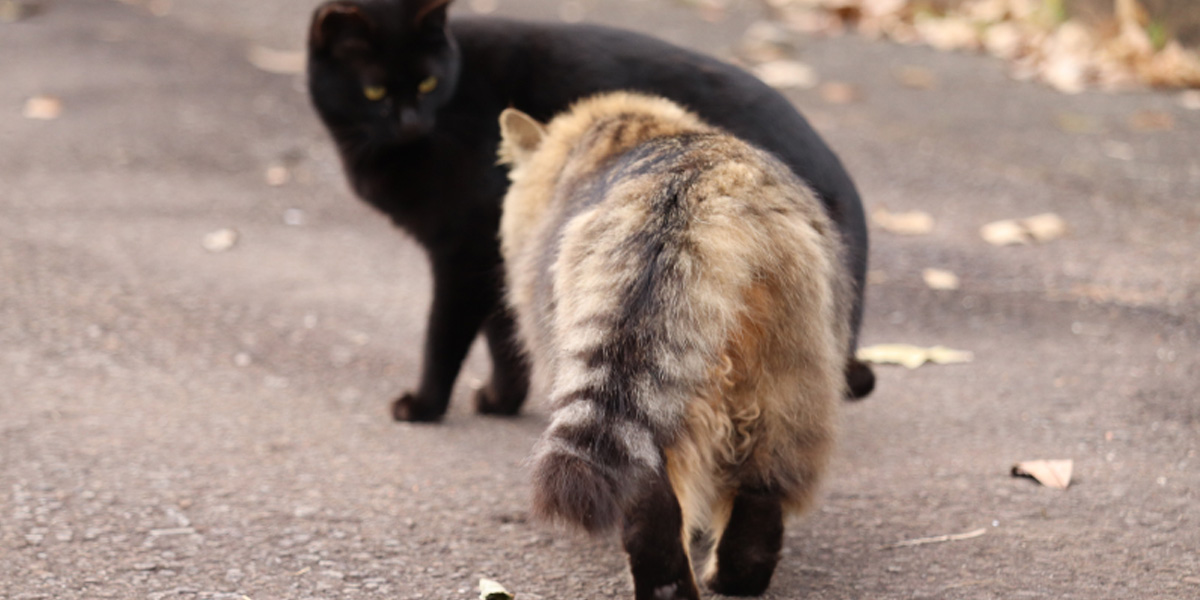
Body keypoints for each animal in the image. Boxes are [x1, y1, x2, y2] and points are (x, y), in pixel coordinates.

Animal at [307, 0, 873, 422]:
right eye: (374, 90)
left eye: (427, 83)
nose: (410, 121)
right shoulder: (499, 252)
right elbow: (505, 327)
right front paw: (502, 399)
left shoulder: (466, 252)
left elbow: (446, 335)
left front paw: (426, 405)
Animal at [496, 91, 844, 597]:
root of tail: (693, 183)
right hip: (790, 367)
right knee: (765, 479)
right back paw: (738, 572)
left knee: (650, 492)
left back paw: (668, 580)